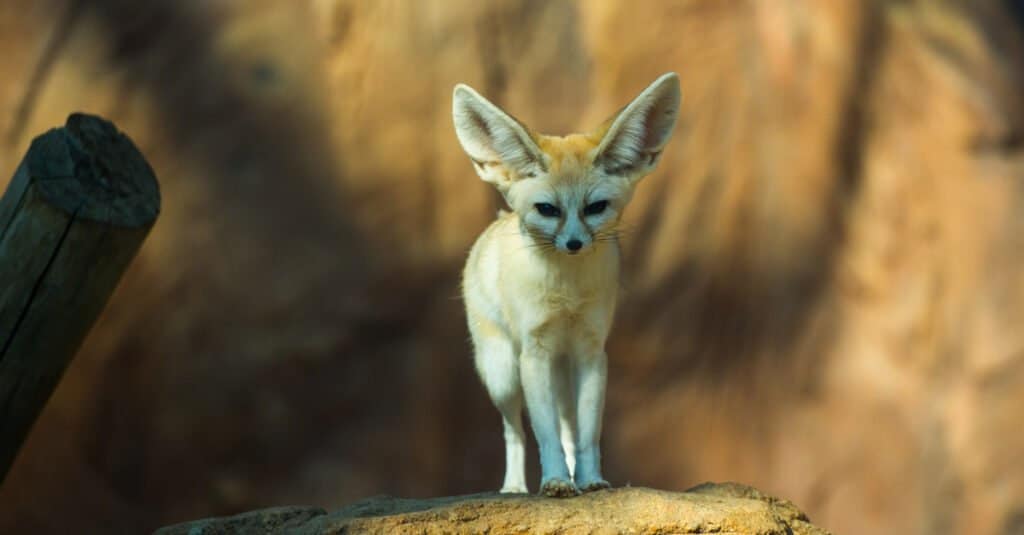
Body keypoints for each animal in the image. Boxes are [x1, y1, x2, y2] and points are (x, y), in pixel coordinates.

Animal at [454, 71, 679, 496]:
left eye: (596, 208)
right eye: (547, 210)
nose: (574, 244)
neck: (567, 295)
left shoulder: (591, 352)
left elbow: (586, 433)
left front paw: (590, 480)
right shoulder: (534, 352)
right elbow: (543, 435)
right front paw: (557, 480)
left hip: (561, 371)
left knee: (568, 427)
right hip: (503, 374)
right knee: (514, 432)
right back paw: (514, 487)